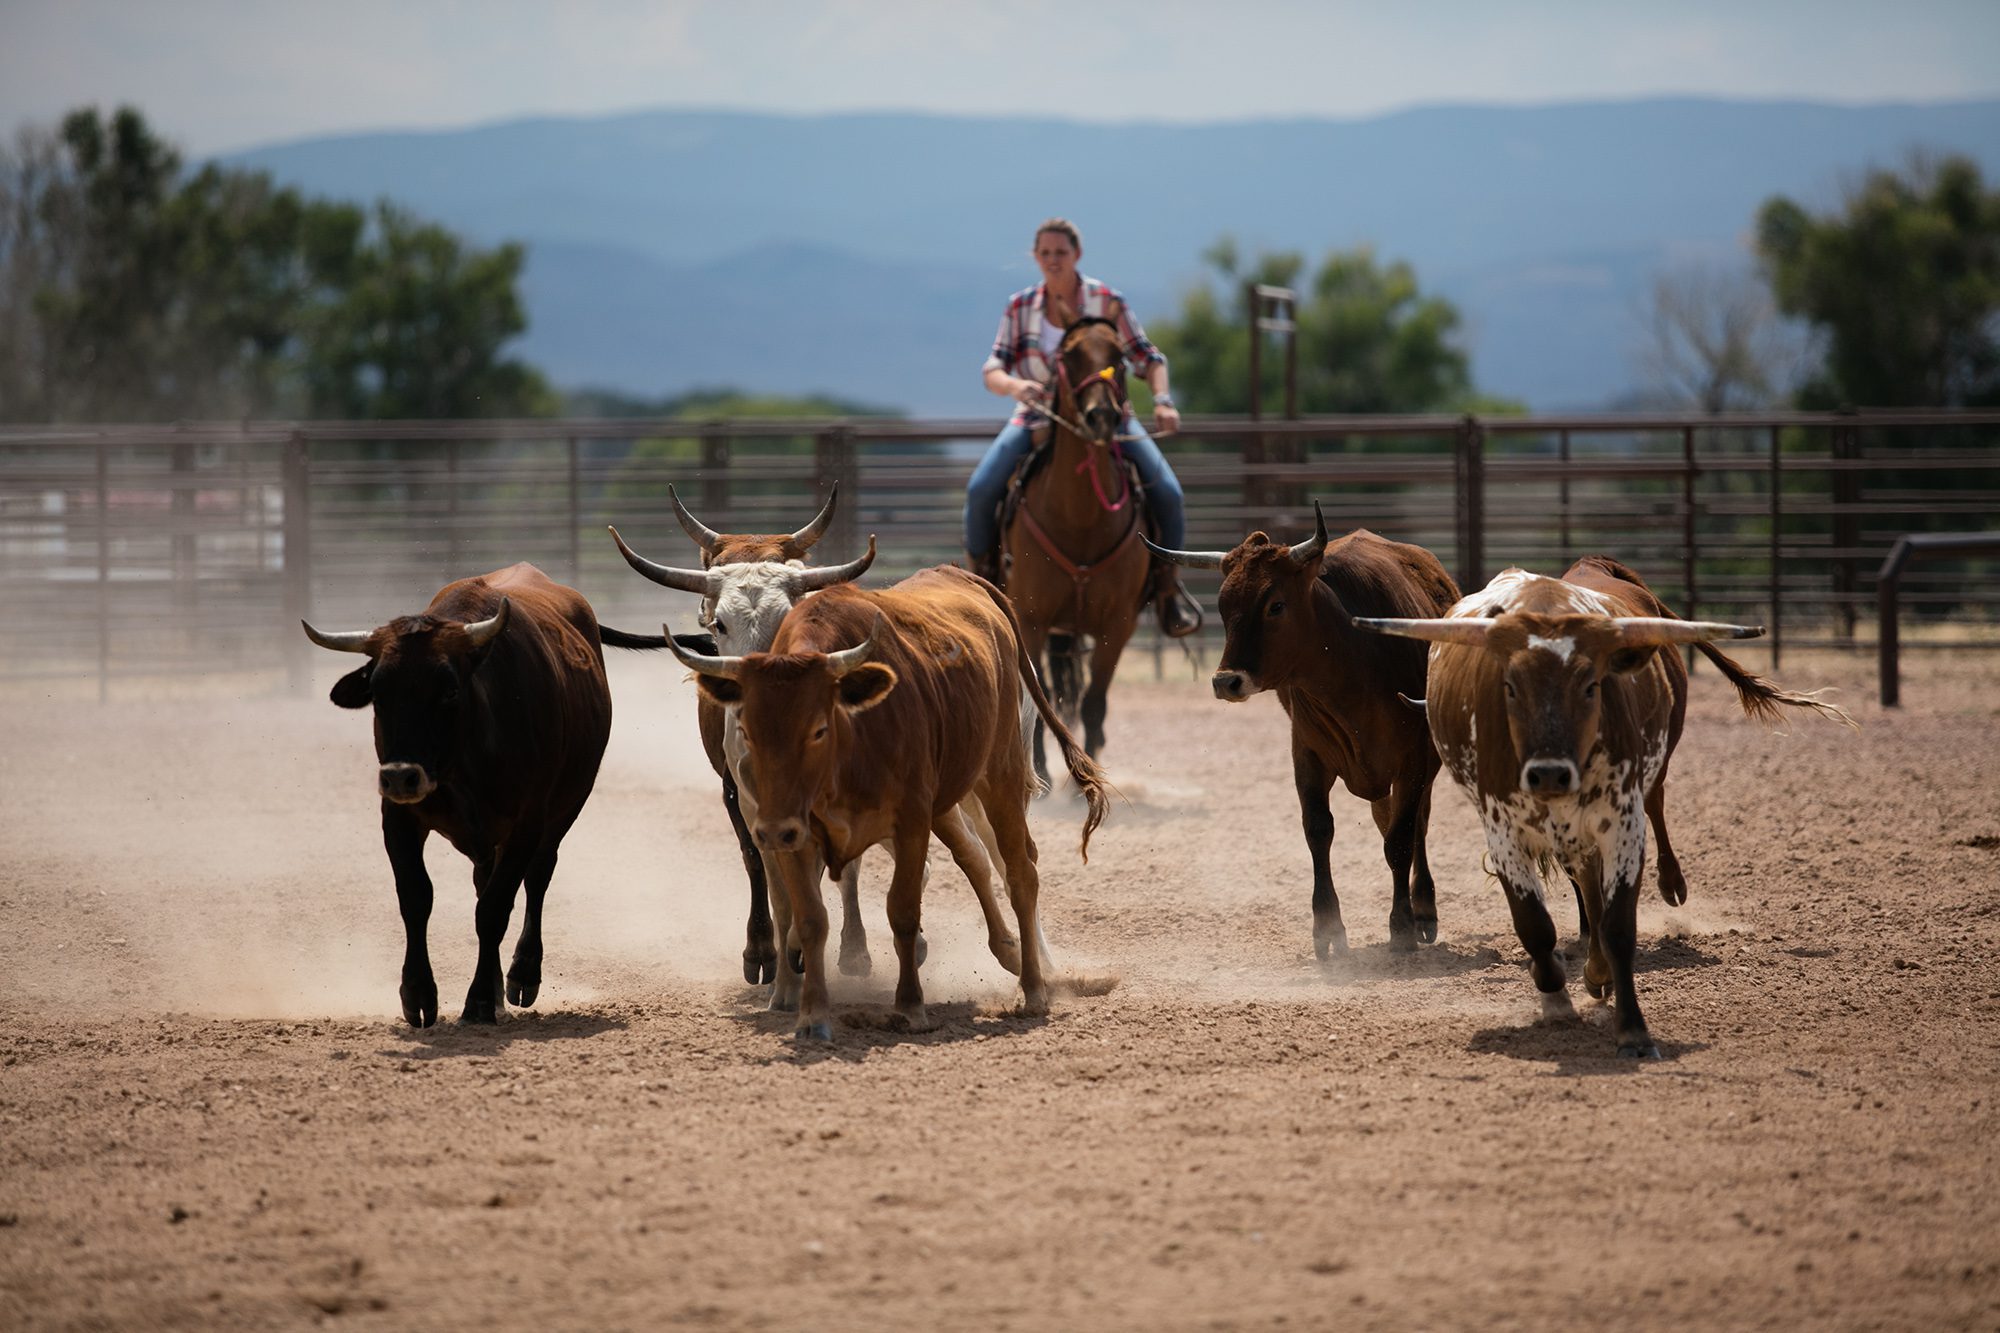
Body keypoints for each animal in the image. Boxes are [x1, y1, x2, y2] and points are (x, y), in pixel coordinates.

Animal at [302, 562, 671, 1025]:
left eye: (449, 690)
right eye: (379, 694)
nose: (402, 776)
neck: (465, 761)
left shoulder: (527, 823)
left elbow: (495, 909)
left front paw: (479, 999)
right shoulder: (397, 816)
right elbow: (416, 897)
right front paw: (418, 992)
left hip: (565, 808)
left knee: (537, 877)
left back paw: (521, 975)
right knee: (484, 880)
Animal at [664, 566, 1109, 1040]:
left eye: (819, 729)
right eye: (749, 729)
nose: (744, 759)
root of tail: (961, 576)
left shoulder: (912, 820)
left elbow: (903, 908)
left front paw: (910, 1005)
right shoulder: (791, 831)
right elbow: (807, 916)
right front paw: (810, 1013)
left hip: (1000, 775)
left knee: (1018, 871)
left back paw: (1035, 984)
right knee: (981, 860)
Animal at [1147, 503, 1461, 957]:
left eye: (1275, 605)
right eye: (1223, 606)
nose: (1226, 681)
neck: (1353, 668)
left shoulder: (1415, 761)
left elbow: (1402, 839)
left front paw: (1402, 925)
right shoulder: (1307, 755)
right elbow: (1318, 831)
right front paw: (1328, 929)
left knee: (1417, 823)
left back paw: (1423, 909)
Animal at [1355, 556, 1855, 1057]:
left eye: (1590, 686)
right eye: (1510, 687)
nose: (1549, 773)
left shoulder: (1622, 824)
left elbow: (1616, 926)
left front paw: (1632, 1028)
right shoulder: (1503, 830)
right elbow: (1535, 923)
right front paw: (1554, 991)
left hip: (1646, 774)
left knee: (1653, 810)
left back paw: (1665, 892)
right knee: (1586, 886)